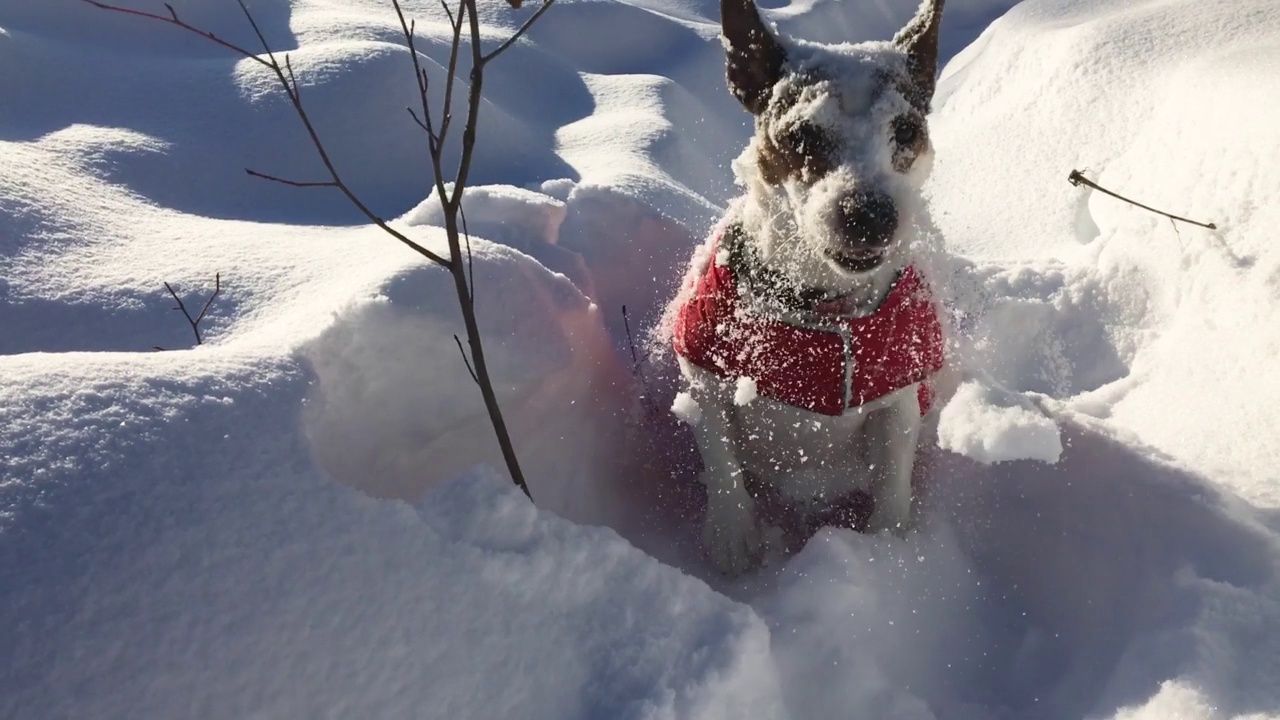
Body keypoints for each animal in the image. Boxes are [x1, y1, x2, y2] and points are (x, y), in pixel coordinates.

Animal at [670, 0, 952, 571]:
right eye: (800, 135)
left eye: (906, 131)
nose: (869, 215)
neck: (819, 304)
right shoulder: (703, 375)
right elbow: (721, 460)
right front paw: (733, 536)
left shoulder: (898, 401)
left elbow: (892, 487)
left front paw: (889, 553)